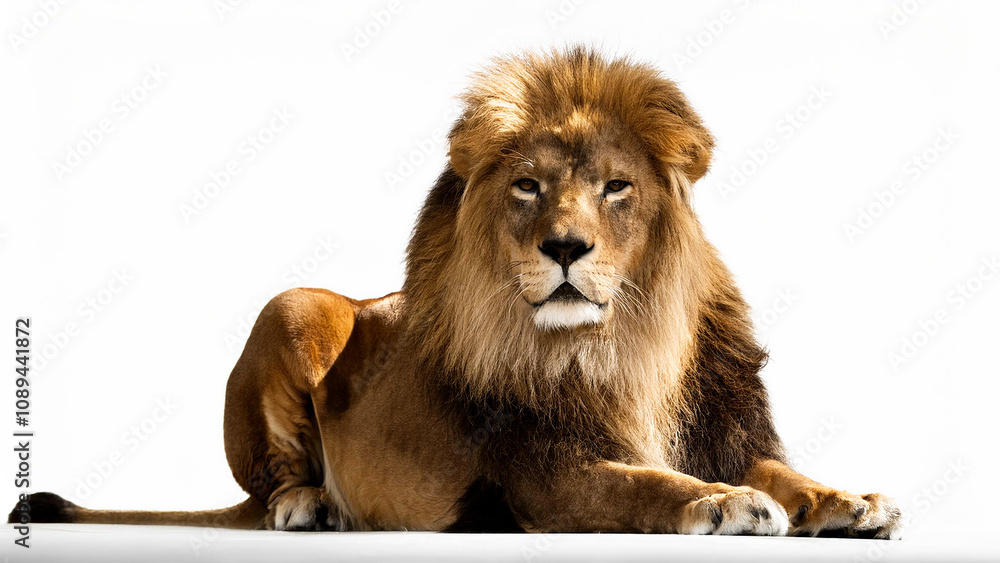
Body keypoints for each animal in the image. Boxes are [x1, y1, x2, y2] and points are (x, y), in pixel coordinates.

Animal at [10, 47, 902, 539]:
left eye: (616, 186)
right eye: (527, 186)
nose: (565, 246)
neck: (620, 345)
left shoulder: (721, 422)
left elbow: (784, 470)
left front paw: (848, 499)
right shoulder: (541, 471)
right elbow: (644, 482)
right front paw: (723, 503)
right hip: (291, 304)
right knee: (267, 484)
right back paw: (308, 504)